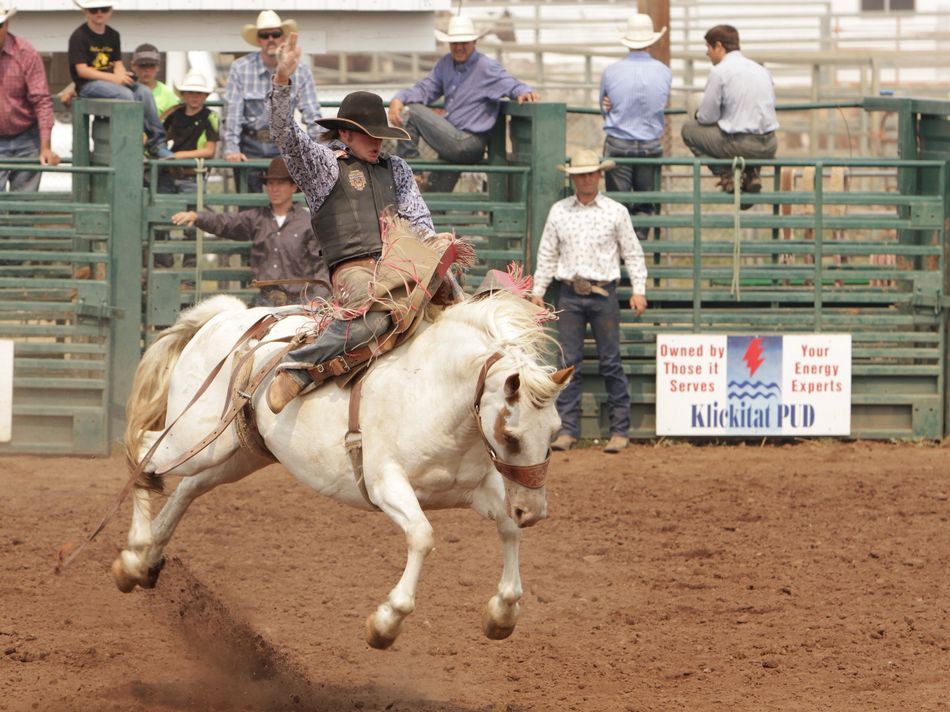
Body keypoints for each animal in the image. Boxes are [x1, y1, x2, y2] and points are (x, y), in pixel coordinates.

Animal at [113, 292, 573, 648]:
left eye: (554, 431)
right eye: (510, 435)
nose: (535, 512)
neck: (434, 392)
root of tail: (227, 316)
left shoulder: (477, 489)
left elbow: (508, 530)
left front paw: (502, 613)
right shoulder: (386, 485)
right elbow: (422, 536)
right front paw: (386, 622)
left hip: (235, 454)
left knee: (188, 487)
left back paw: (145, 560)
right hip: (194, 437)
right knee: (144, 452)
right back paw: (135, 551)